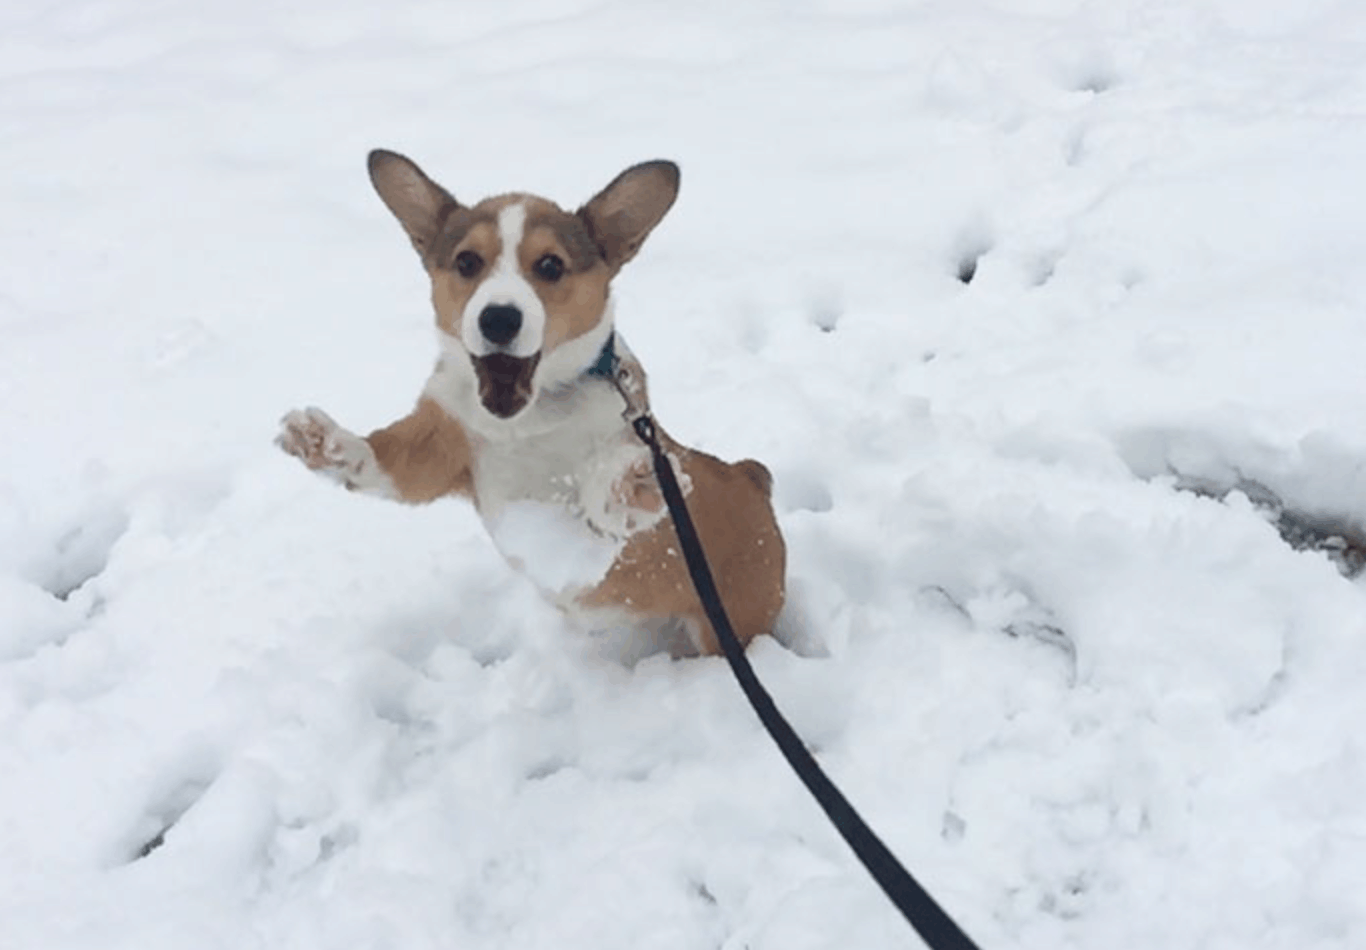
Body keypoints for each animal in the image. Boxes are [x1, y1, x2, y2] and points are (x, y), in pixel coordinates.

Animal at [277, 152, 786, 658]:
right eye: (467, 261)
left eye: (550, 265)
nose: (499, 318)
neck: (525, 420)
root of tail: (751, 477)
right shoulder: (442, 440)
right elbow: (384, 461)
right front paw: (322, 442)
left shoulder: (596, 537)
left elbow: (597, 522)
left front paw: (630, 490)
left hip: (730, 622)